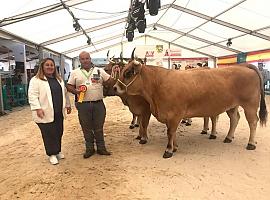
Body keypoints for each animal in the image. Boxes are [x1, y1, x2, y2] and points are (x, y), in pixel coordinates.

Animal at [113, 60, 266, 158]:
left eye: (128, 73)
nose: (115, 87)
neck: (159, 84)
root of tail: (244, 66)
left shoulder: (175, 115)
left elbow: (170, 132)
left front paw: (169, 150)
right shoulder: (170, 117)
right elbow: (172, 132)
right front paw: (175, 147)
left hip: (250, 105)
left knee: (253, 122)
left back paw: (251, 143)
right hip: (232, 106)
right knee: (235, 119)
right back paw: (228, 137)